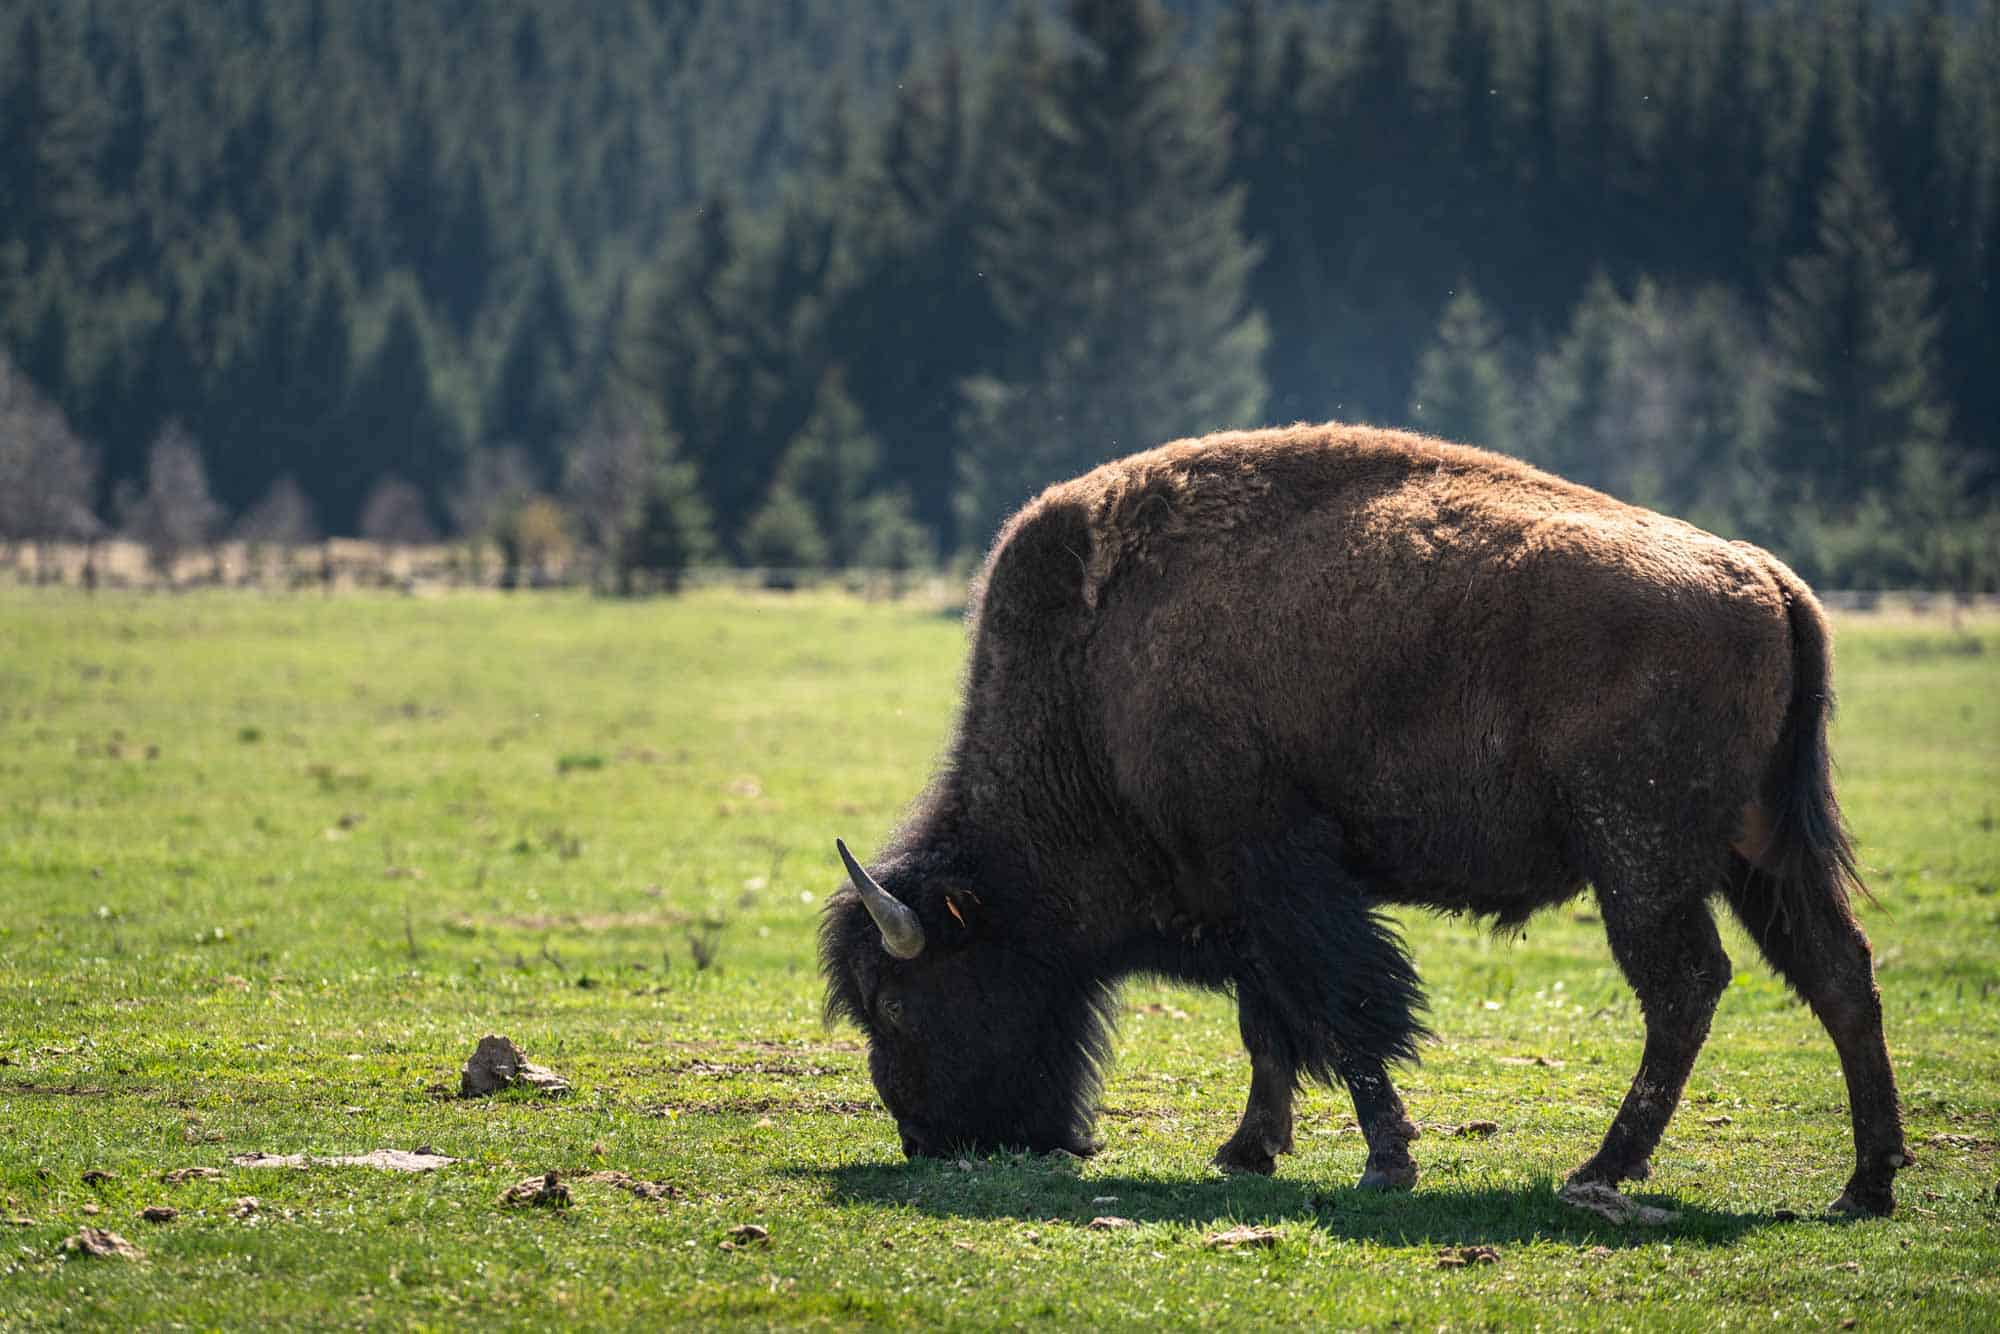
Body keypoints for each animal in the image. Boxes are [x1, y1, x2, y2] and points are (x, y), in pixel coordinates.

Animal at [824, 426, 1904, 1224]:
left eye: (898, 1003)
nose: (928, 1140)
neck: (1094, 681)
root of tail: (1766, 577)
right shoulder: (1249, 905)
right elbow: (1271, 1025)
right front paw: (1247, 1149)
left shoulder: (1280, 875)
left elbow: (1347, 1013)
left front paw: (1383, 1162)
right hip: (1756, 853)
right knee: (1837, 974)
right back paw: (1864, 1185)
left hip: (1642, 859)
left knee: (1685, 987)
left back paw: (1600, 1170)